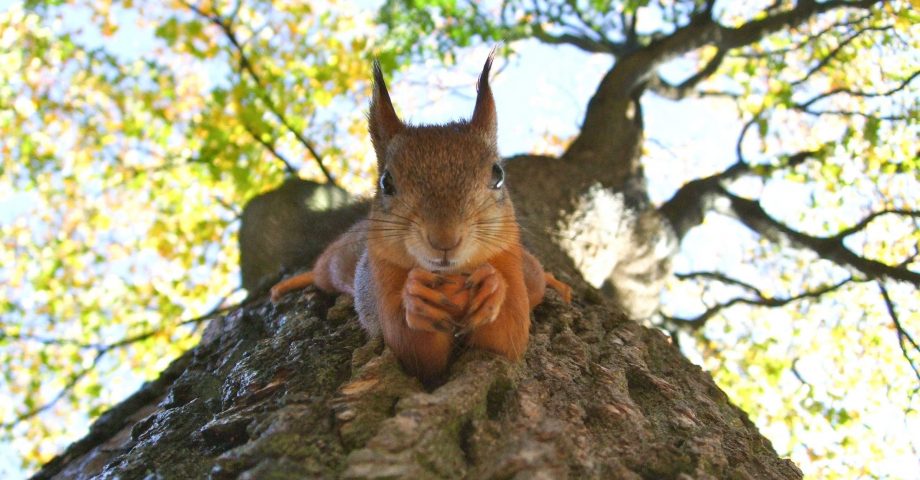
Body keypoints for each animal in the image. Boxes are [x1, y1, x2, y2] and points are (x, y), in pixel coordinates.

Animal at [268, 53, 568, 382]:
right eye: (386, 182)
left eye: (498, 175)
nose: (444, 239)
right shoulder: (382, 278)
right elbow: (414, 352)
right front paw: (416, 298)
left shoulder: (508, 263)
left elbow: (507, 338)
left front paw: (492, 286)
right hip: (336, 263)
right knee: (321, 272)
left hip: (529, 273)